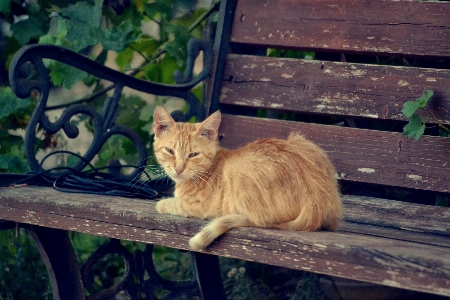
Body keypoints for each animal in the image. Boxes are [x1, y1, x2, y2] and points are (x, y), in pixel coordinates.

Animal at [153, 105, 342, 251]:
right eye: (169, 151)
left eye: (193, 154)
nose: (178, 169)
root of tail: (316, 201)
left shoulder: (202, 207)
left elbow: (174, 204)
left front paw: (163, 203)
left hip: (236, 171)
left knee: (259, 220)